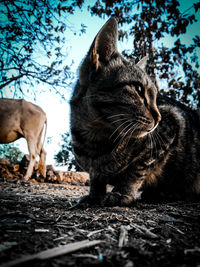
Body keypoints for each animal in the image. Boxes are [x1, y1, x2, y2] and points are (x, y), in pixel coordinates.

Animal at [70, 17, 200, 206]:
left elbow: (137, 169)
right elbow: (96, 178)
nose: (159, 118)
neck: (95, 140)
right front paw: (94, 194)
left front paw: (121, 192)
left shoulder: (172, 123)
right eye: (138, 89)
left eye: (155, 97)